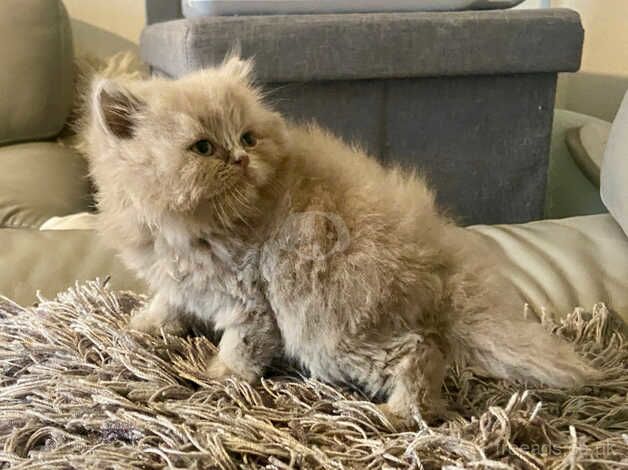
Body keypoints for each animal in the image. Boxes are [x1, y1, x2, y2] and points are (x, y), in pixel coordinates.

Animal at [83, 55, 600, 422]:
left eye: (247, 138)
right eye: (204, 148)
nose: (240, 159)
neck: (196, 231)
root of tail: (440, 259)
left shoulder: (252, 300)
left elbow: (241, 346)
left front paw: (221, 378)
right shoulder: (181, 280)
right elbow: (168, 301)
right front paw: (143, 324)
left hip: (328, 329)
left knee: (420, 353)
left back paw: (400, 415)